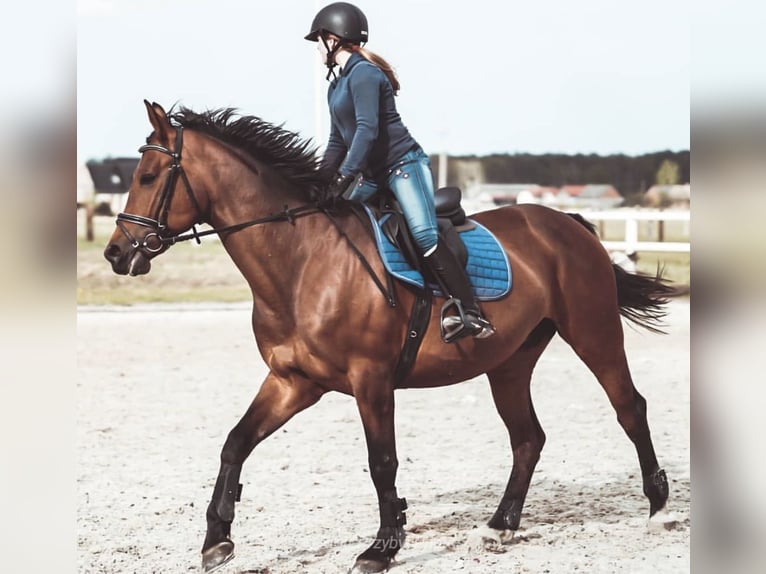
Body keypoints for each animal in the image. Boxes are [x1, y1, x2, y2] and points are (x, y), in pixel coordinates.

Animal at [104, 101, 676, 573]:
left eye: (149, 175)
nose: (116, 253)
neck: (302, 261)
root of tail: (568, 224)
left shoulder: (371, 380)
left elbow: (382, 463)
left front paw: (382, 547)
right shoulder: (292, 381)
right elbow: (235, 443)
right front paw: (217, 539)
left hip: (594, 334)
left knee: (630, 407)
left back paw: (659, 510)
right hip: (509, 362)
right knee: (528, 438)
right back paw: (499, 526)